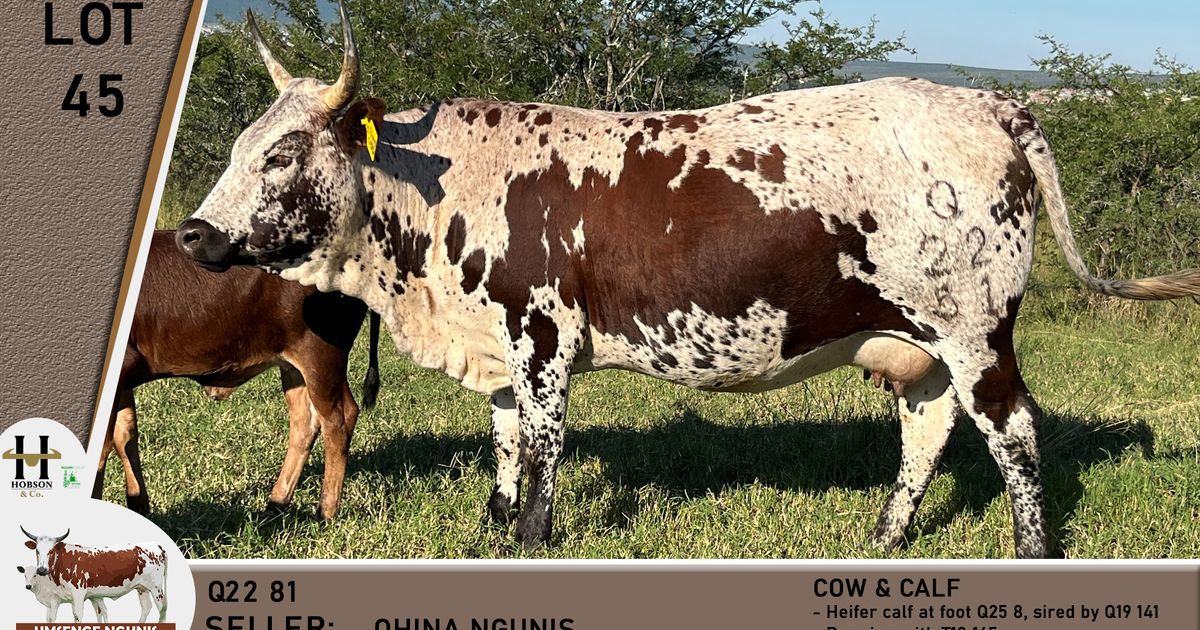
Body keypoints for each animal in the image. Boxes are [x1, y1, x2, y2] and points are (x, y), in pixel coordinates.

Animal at [20, 527, 167, 622]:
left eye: (51, 551)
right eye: (37, 551)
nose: (41, 570)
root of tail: (156, 545)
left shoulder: (78, 593)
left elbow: (78, 616)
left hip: (156, 588)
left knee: (162, 610)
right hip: (142, 588)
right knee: (146, 608)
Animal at [93, 230, 382, 520]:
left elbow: (103, 449)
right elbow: (125, 434)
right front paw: (138, 505)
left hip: (320, 354)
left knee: (338, 419)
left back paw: (326, 510)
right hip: (294, 365)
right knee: (305, 421)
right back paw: (276, 503)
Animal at [174, 1, 1200, 557]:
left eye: (282, 155)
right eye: (237, 145)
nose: (192, 233)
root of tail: (987, 101)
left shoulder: (543, 338)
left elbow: (541, 449)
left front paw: (533, 538)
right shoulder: (497, 344)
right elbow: (505, 447)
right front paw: (493, 530)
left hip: (975, 329)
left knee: (1014, 433)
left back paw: (1026, 548)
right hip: (922, 341)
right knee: (927, 428)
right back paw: (883, 537)